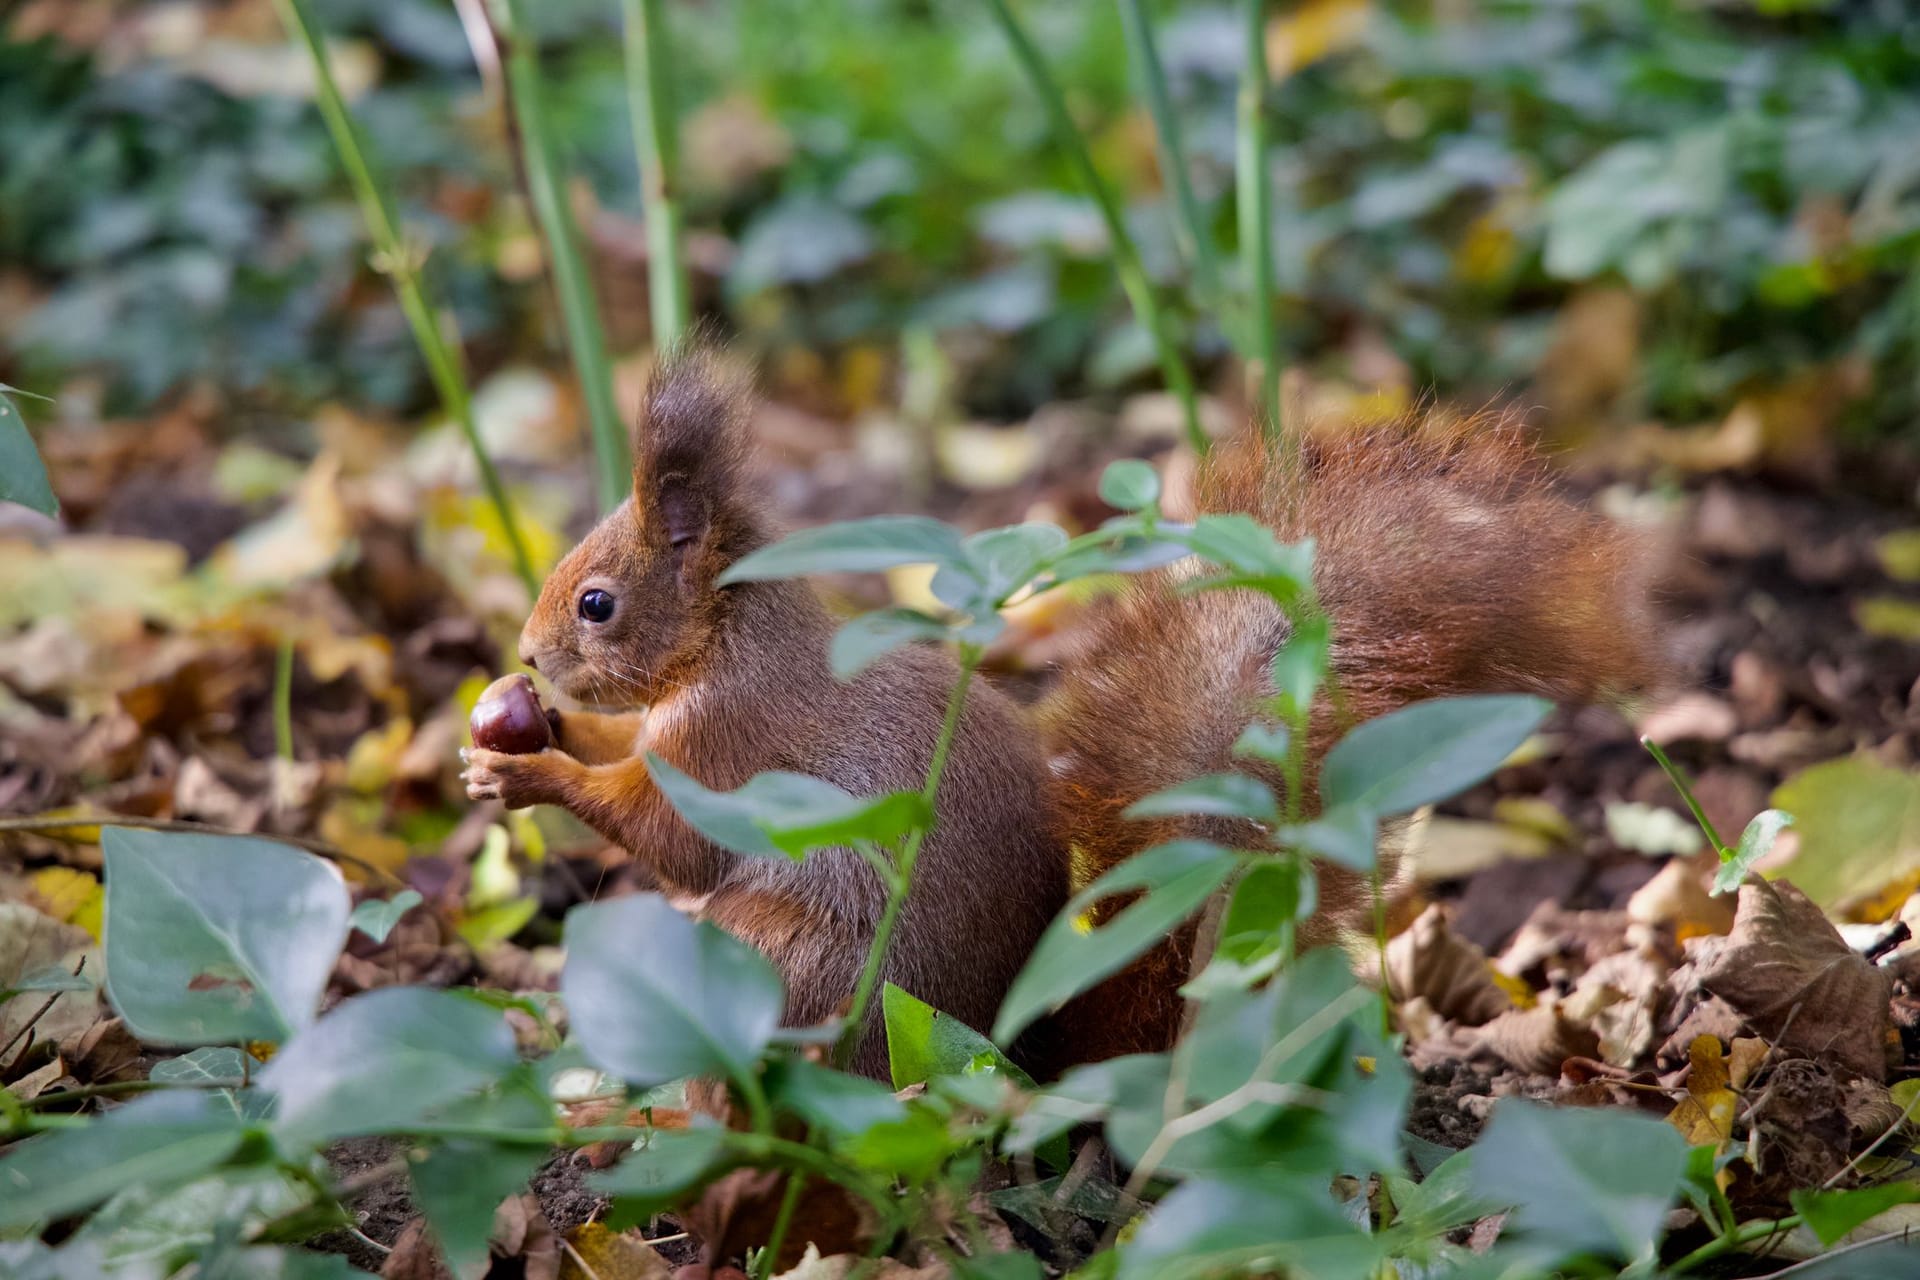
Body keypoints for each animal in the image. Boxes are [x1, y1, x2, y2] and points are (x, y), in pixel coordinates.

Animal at [456, 355, 1658, 1074]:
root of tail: (1005, 1052)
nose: (526, 656)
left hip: (788, 967)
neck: (724, 637)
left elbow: (670, 834)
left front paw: (531, 772)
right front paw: (530, 734)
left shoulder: (727, 748)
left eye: (597, 603)